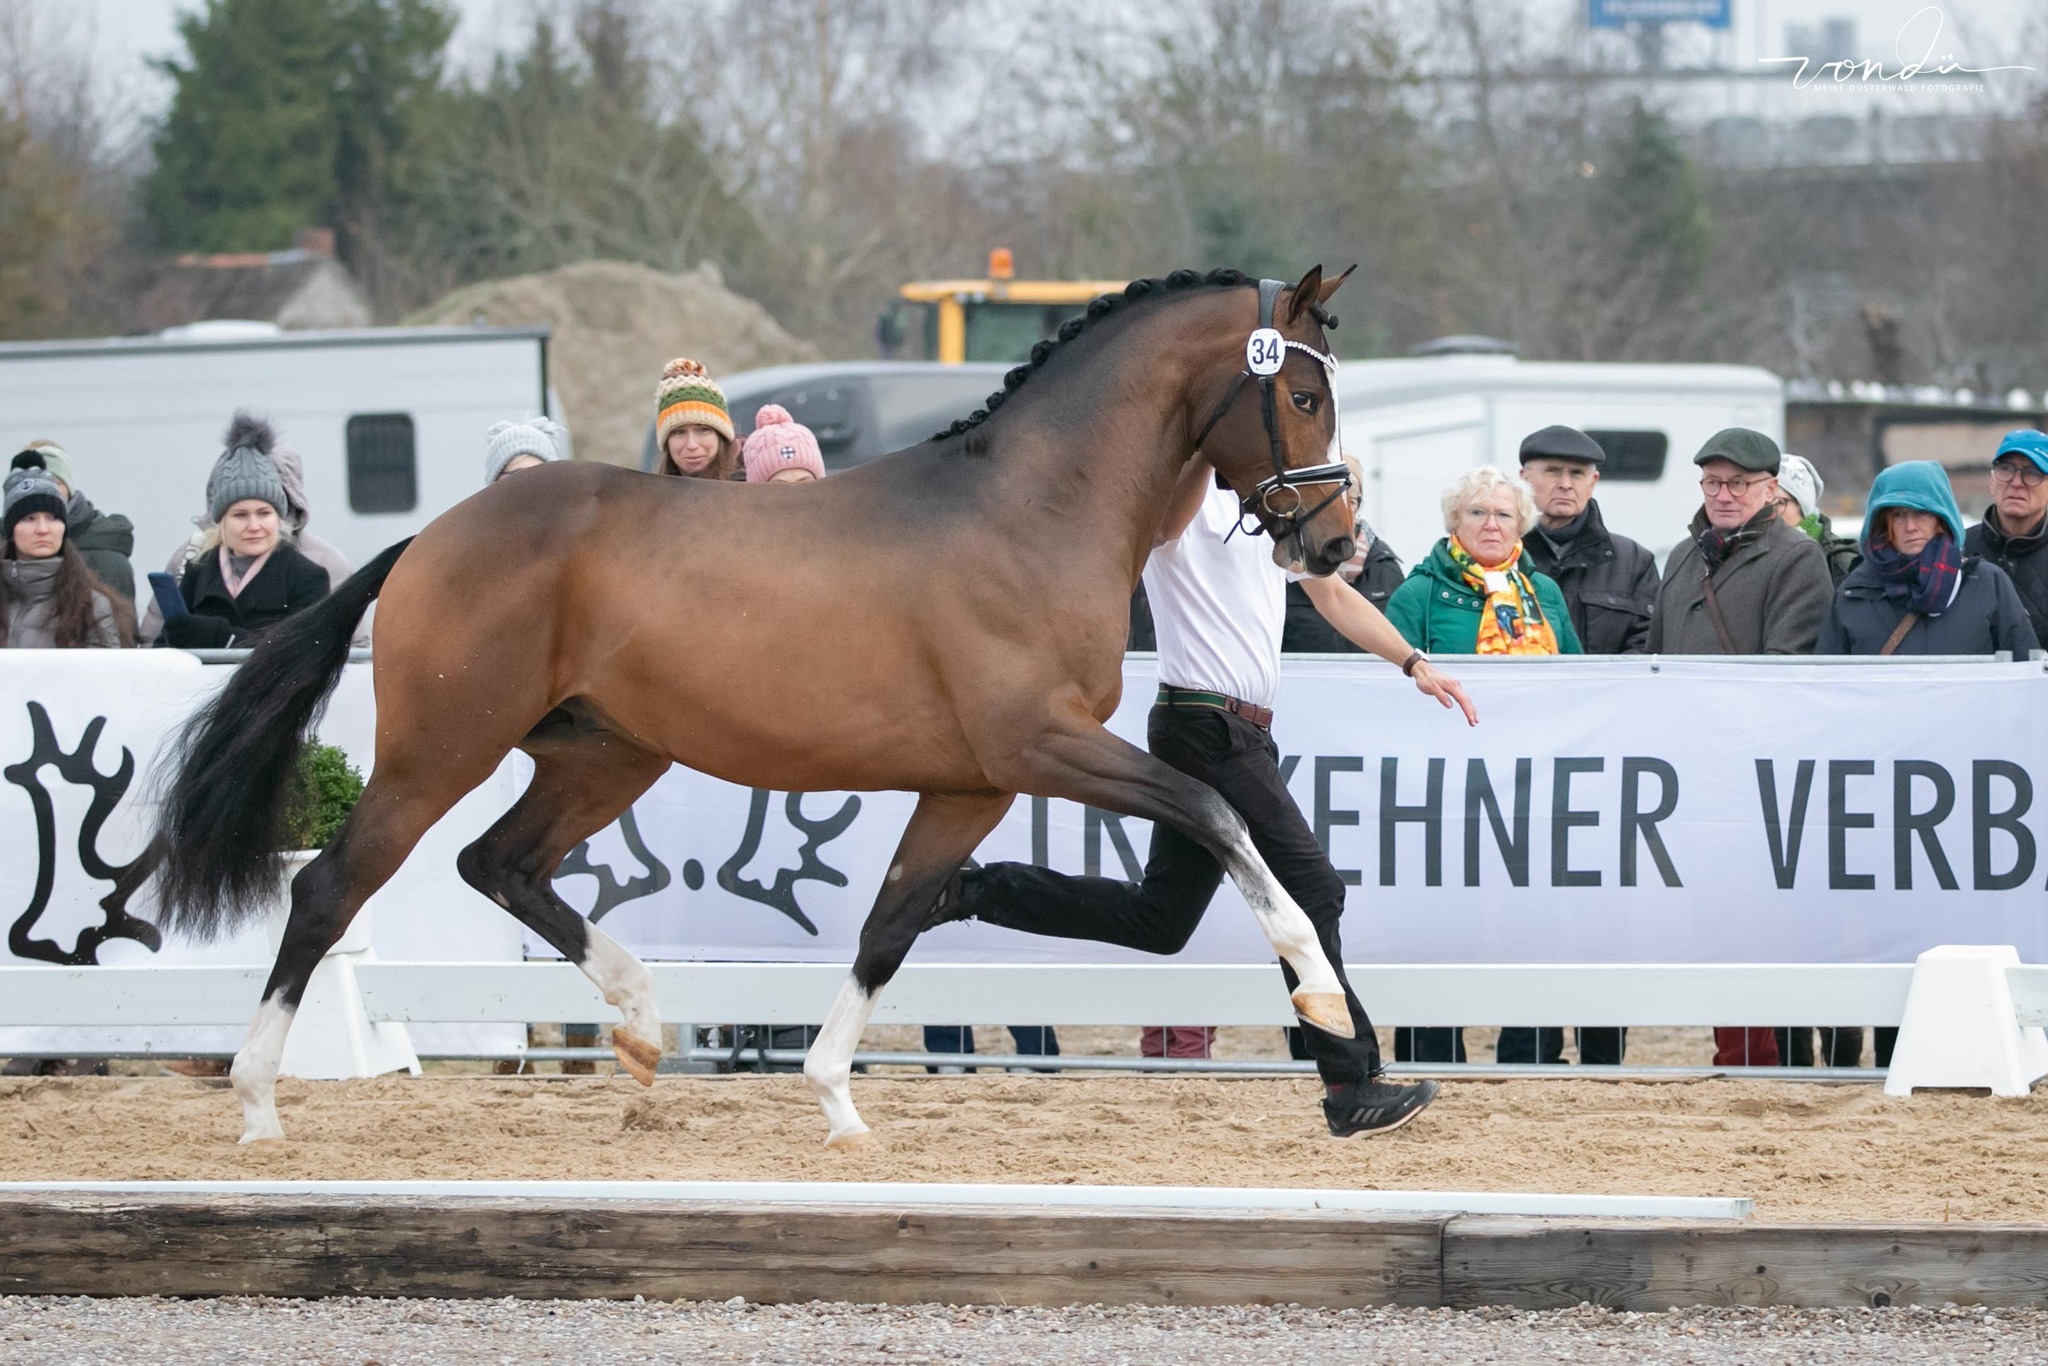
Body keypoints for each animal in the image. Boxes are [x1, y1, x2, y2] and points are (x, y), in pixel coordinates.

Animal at [155, 262, 1359, 1146]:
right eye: (1302, 396)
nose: (1336, 545)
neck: (1031, 509)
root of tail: (430, 536)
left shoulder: (967, 783)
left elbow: (890, 924)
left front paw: (835, 1100)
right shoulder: (1039, 744)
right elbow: (1216, 814)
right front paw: (1320, 995)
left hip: (604, 755)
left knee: (499, 863)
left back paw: (642, 1027)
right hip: (438, 749)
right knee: (331, 887)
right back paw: (257, 1106)